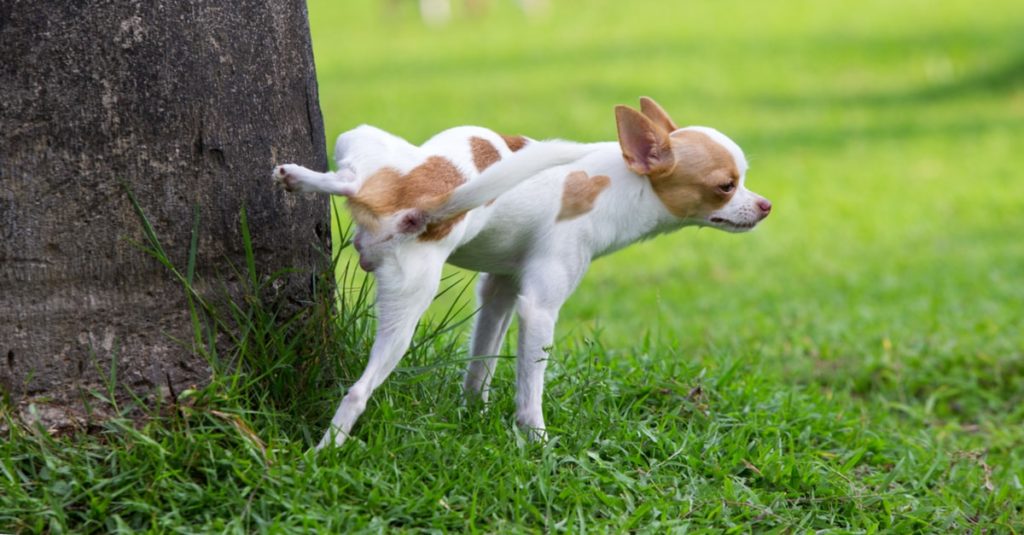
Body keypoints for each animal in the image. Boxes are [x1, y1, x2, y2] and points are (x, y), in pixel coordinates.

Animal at [272, 97, 770, 446]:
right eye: (726, 186)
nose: (765, 205)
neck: (620, 183)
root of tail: (423, 204)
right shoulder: (539, 309)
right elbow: (530, 390)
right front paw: (537, 444)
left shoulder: (500, 292)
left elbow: (482, 364)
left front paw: (472, 414)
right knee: (358, 391)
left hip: (369, 168)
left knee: (351, 180)